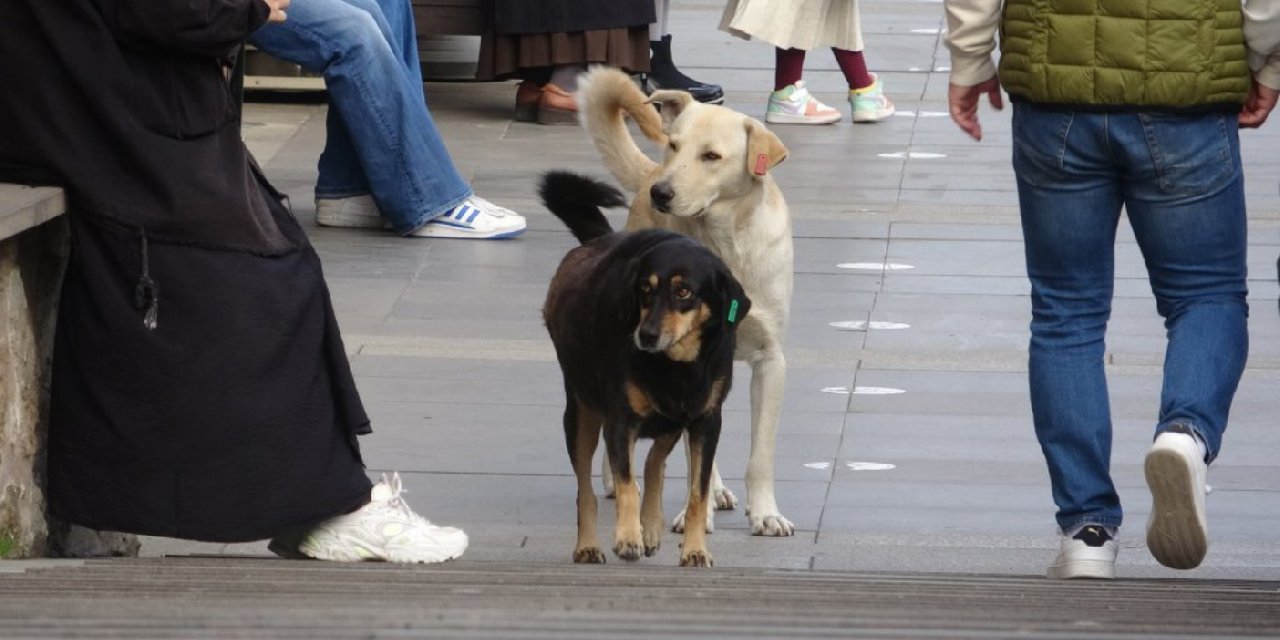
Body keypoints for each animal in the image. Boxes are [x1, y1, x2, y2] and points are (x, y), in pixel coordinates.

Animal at [540, 171, 747, 570]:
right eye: (644, 291)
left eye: (684, 292)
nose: (646, 335)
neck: (676, 365)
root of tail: (598, 240)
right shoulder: (620, 422)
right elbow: (625, 485)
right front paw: (627, 537)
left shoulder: (705, 422)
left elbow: (696, 494)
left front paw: (694, 549)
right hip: (582, 414)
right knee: (586, 490)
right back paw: (590, 545)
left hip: (672, 418)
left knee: (654, 463)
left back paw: (651, 526)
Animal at [576, 66, 793, 535]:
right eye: (673, 144)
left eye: (711, 156)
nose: (661, 192)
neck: (726, 246)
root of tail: (646, 174)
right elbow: (698, 460)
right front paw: (697, 512)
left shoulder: (771, 360)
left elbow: (761, 454)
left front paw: (766, 513)